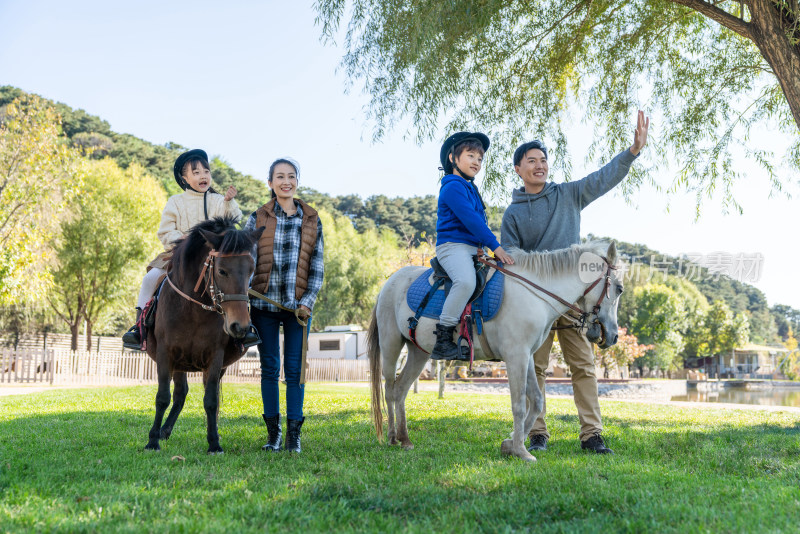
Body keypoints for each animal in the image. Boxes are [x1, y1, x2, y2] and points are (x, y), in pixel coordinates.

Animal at [145, 218, 264, 456]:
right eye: (222, 271)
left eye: (251, 270)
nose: (240, 326)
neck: (193, 310)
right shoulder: (165, 353)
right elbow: (162, 397)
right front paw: (152, 441)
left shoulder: (214, 357)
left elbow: (210, 401)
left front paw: (214, 443)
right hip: (178, 363)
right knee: (179, 394)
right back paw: (163, 432)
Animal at [368, 241, 624, 462]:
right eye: (619, 289)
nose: (613, 336)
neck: (536, 294)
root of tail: (388, 283)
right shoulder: (516, 357)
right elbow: (519, 405)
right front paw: (521, 451)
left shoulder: (526, 356)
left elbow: (536, 400)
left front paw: (510, 443)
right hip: (391, 346)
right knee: (389, 390)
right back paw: (391, 437)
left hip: (418, 352)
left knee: (401, 390)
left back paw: (405, 439)